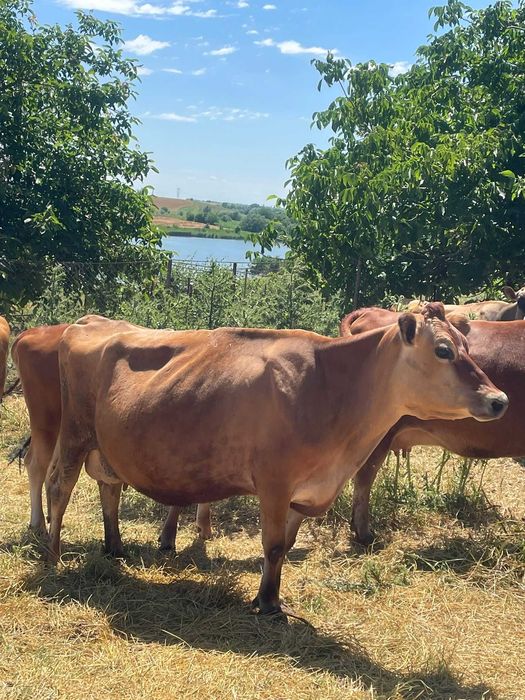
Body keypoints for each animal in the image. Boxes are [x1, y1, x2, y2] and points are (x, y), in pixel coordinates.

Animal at [10, 321, 210, 556]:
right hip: (47, 421)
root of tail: (31, 333)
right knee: (36, 465)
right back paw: (39, 523)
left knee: (50, 469)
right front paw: (170, 537)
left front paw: (202, 527)